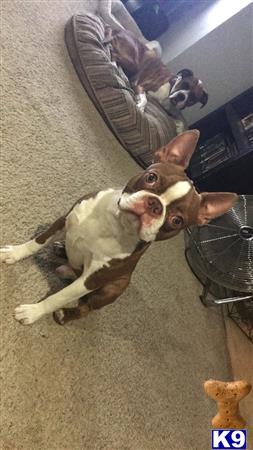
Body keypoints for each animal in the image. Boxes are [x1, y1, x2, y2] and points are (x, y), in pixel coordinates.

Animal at [0, 131, 236, 326]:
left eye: (177, 221)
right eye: (151, 177)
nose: (155, 205)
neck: (115, 222)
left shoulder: (92, 280)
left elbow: (59, 297)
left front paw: (33, 311)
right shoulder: (65, 219)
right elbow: (38, 241)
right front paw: (14, 253)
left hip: (114, 287)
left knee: (85, 307)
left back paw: (65, 315)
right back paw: (60, 249)